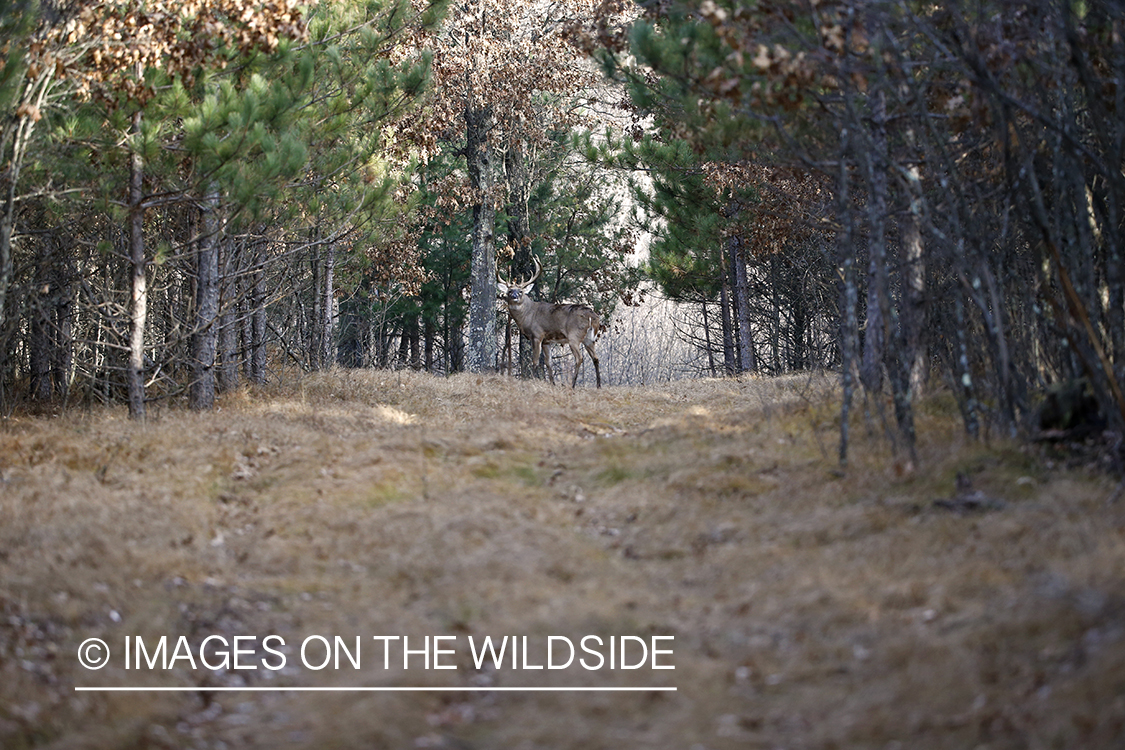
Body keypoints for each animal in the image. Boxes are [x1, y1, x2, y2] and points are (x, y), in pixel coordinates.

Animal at [497, 256, 603, 391]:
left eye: (521, 291)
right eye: (509, 291)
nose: (515, 296)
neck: (528, 315)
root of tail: (592, 316)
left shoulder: (537, 335)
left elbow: (535, 361)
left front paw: (533, 380)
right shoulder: (547, 341)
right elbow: (549, 363)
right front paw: (552, 383)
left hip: (574, 335)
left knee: (579, 358)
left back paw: (572, 385)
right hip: (589, 338)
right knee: (596, 358)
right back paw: (598, 386)